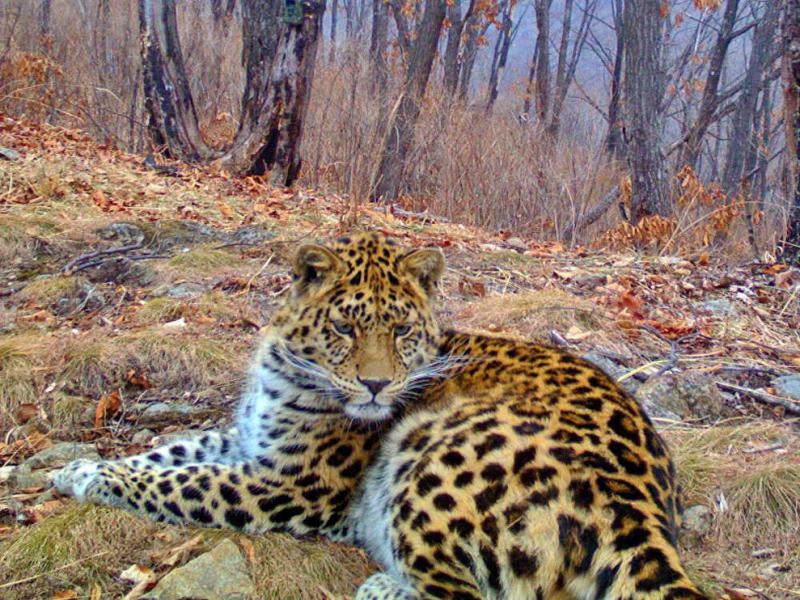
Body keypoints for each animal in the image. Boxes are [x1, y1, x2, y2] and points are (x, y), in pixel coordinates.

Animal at [53, 232, 709, 599]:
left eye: (400, 330)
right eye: (345, 328)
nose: (376, 385)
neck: (282, 369)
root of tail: (641, 511)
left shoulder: (289, 484)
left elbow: (184, 480)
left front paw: (95, 479)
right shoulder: (250, 443)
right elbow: (175, 453)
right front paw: (76, 469)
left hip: (431, 449)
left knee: (469, 596)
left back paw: (382, 586)